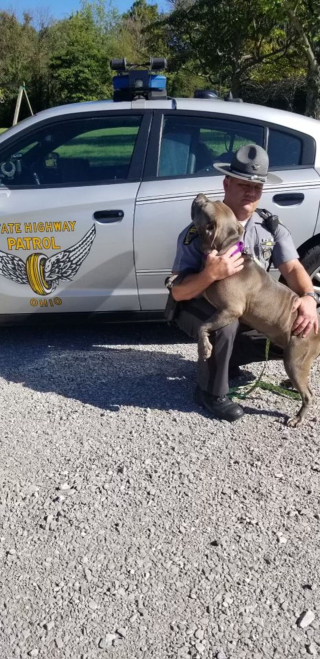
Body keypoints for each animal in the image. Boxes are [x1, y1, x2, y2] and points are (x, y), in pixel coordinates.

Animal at [191, 192, 318, 428]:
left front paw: (204, 349)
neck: (225, 250)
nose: (199, 195)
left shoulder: (230, 310)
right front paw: (173, 279)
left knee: (308, 394)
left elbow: (203, 326)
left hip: (294, 359)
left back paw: (297, 418)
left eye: (203, 206)